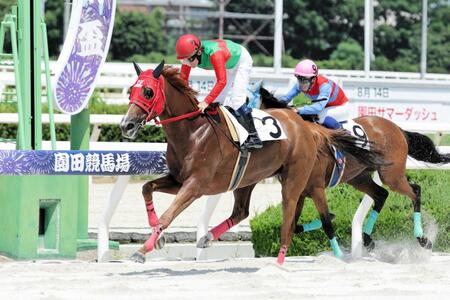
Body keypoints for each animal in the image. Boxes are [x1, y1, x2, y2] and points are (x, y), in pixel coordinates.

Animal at [118, 62, 384, 264]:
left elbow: (168, 215)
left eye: (148, 92)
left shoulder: (195, 185)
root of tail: (304, 124)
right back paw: (207, 238)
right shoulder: (178, 179)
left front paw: (142, 250)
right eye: (131, 90)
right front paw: (158, 237)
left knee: (288, 217)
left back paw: (279, 261)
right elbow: (146, 188)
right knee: (242, 211)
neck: (194, 132)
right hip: (248, 178)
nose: (126, 125)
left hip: (293, 179)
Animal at [256, 87, 450, 253]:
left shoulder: (316, 188)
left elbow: (326, 223)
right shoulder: (300, 192)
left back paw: (423, 239)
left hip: (391, 175)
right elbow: (294, 225)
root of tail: (397, 129)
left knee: (415, 192)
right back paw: (368, 239)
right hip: (358, 177)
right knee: (382, 194)